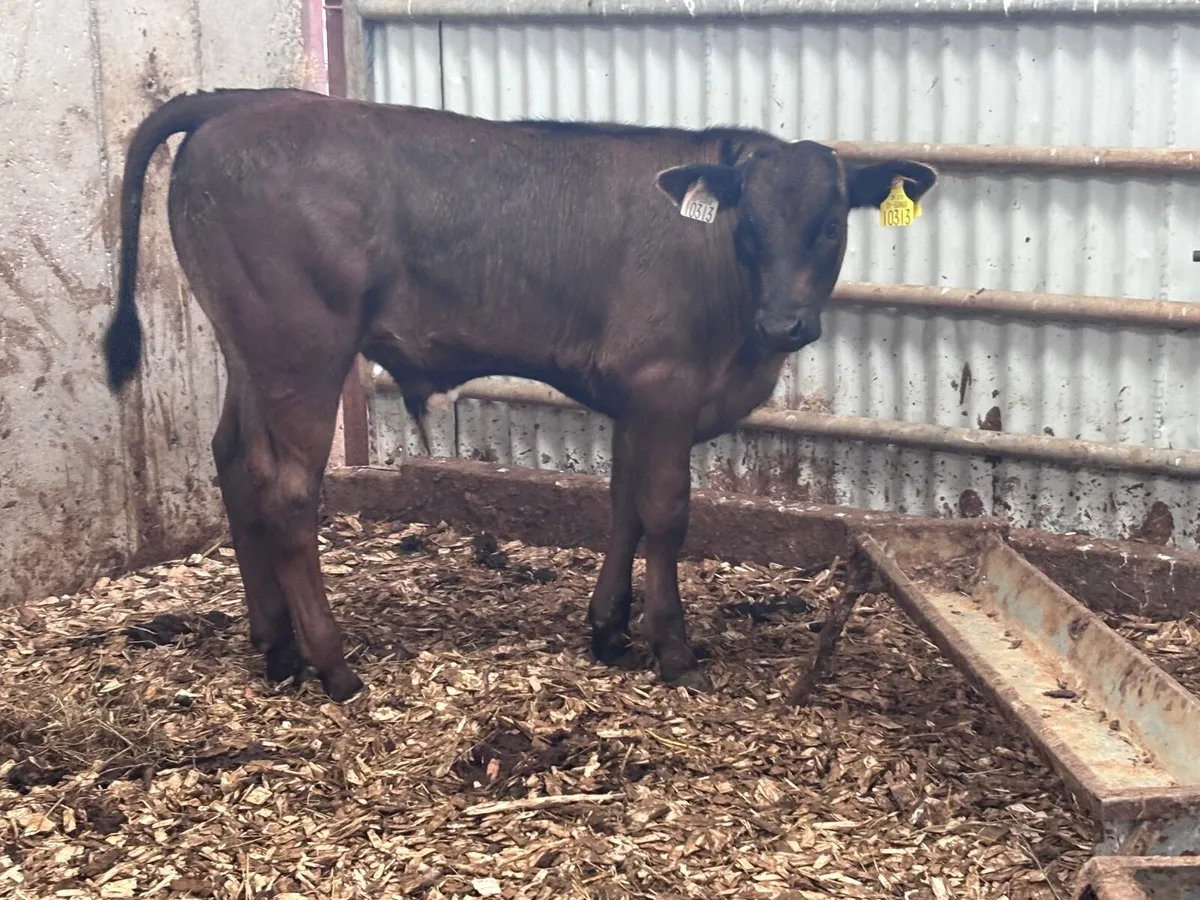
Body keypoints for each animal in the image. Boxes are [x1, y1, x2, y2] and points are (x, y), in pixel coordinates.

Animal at [102, 88, 936, 702]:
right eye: (749, 224)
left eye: (831, 224)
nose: (785, 320)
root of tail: (235, 101)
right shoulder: (664, 386)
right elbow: (666, 515)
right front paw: (672, 648)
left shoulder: (635, 400)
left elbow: (623, 504)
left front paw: (607, 630)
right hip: (300, 348)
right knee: (285, 490)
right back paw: (335, 667)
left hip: (249, 350)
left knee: (232, 462)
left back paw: (276, 647)